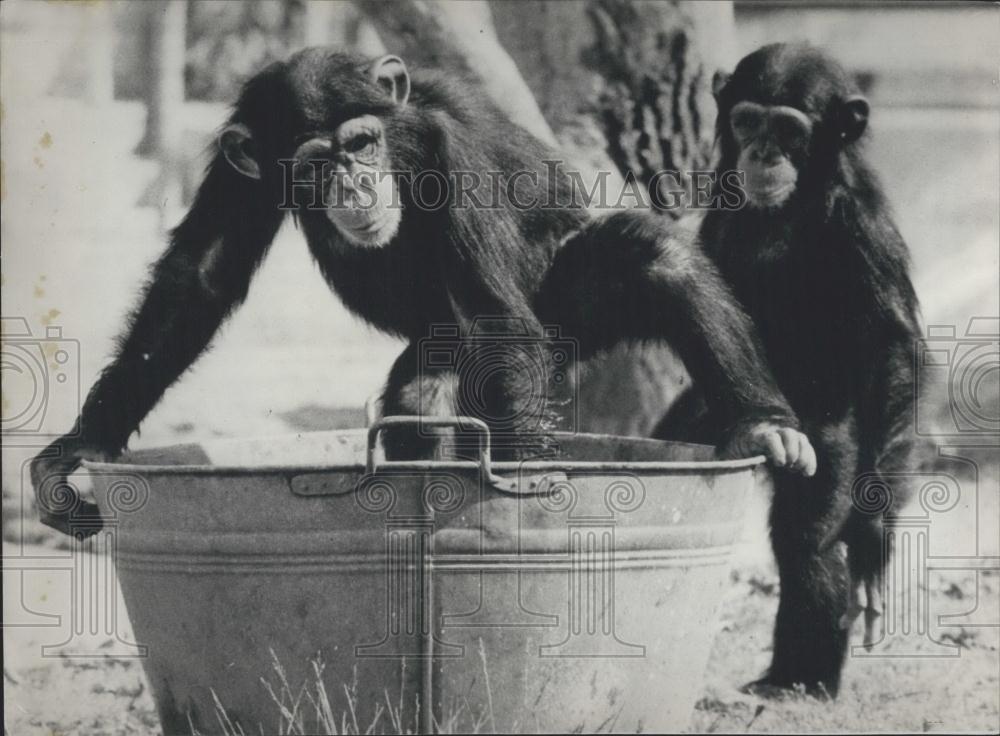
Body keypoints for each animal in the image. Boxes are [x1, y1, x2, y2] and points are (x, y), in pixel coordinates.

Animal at [31, 49, 816, 536]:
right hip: (446, 351)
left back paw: (763, 424)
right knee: (419, 403)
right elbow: (199, 277)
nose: (354, 182)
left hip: (567, 312)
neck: (399, 141)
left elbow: (499, 318)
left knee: (658, 258)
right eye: (314, 164)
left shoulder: (451, 157)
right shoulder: (238, 170)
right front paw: (80, 447)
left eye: (360, 144)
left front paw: (523, 488)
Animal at [680, 43, 920, 700]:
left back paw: (797, 681)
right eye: (747, 122)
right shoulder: (720, 205)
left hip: (831, 437)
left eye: (789, 129)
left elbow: (891, 350)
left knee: (805, 542)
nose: (763, 153)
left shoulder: (861, 220)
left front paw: (872, 539)